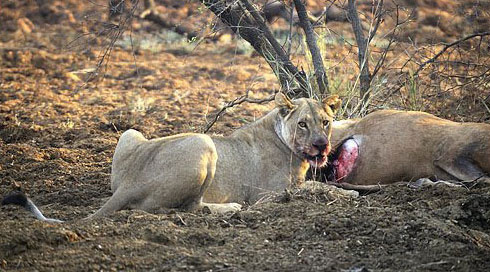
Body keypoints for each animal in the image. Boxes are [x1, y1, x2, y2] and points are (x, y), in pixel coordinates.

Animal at [1, 93, 340, 221]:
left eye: (326, 122)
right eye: (303, 123)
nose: (322, 145)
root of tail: (131, 182)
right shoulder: (268, 194)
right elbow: (319, 187)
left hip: (131, 133)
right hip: (204, 142)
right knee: (192, 207)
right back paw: (231, 208)